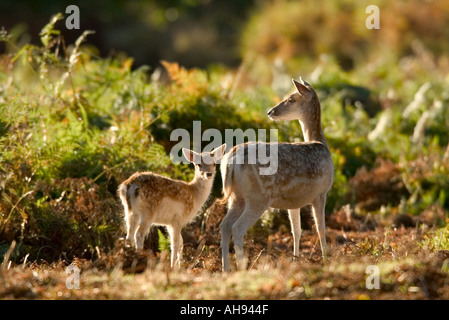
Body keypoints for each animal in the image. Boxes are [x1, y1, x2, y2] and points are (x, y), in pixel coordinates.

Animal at [220, 79, 332, 272]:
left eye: (291, 99)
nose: (270, 111)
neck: (320, 142)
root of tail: (231, 160)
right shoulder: (321, 192)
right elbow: (320, 228)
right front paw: (326, 260)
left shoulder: (294, 201)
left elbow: (296, 230)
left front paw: (295, 259)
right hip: (258, 197)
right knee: (237, 228)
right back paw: (242, 267)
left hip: (236, 196)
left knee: (225, 226)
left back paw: (225, 269)